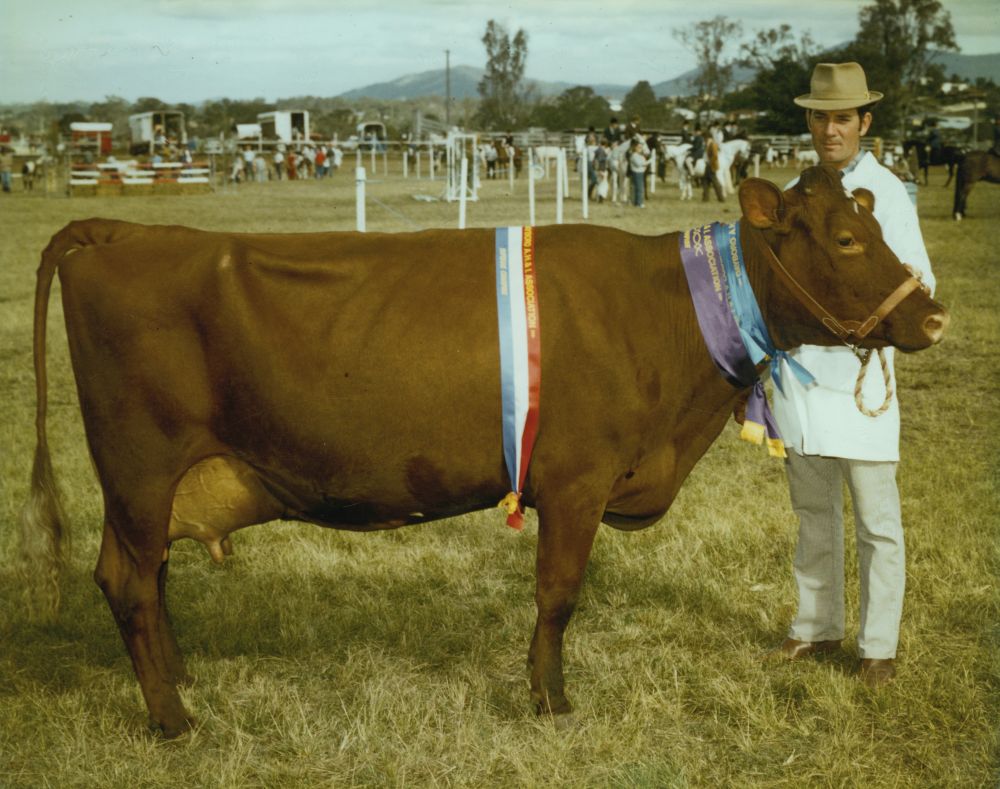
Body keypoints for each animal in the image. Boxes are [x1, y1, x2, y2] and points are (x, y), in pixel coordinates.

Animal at [22, 166, 949, 737]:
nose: (934, 315)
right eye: (845, 240)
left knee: (149, 579)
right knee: (126, 579)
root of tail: (118, 229)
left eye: (868, 223)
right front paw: (551, 698)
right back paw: (172, 718)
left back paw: (178, 684)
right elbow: (558, 594)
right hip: (139, 469)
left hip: (147, 483)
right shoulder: (575, 481)